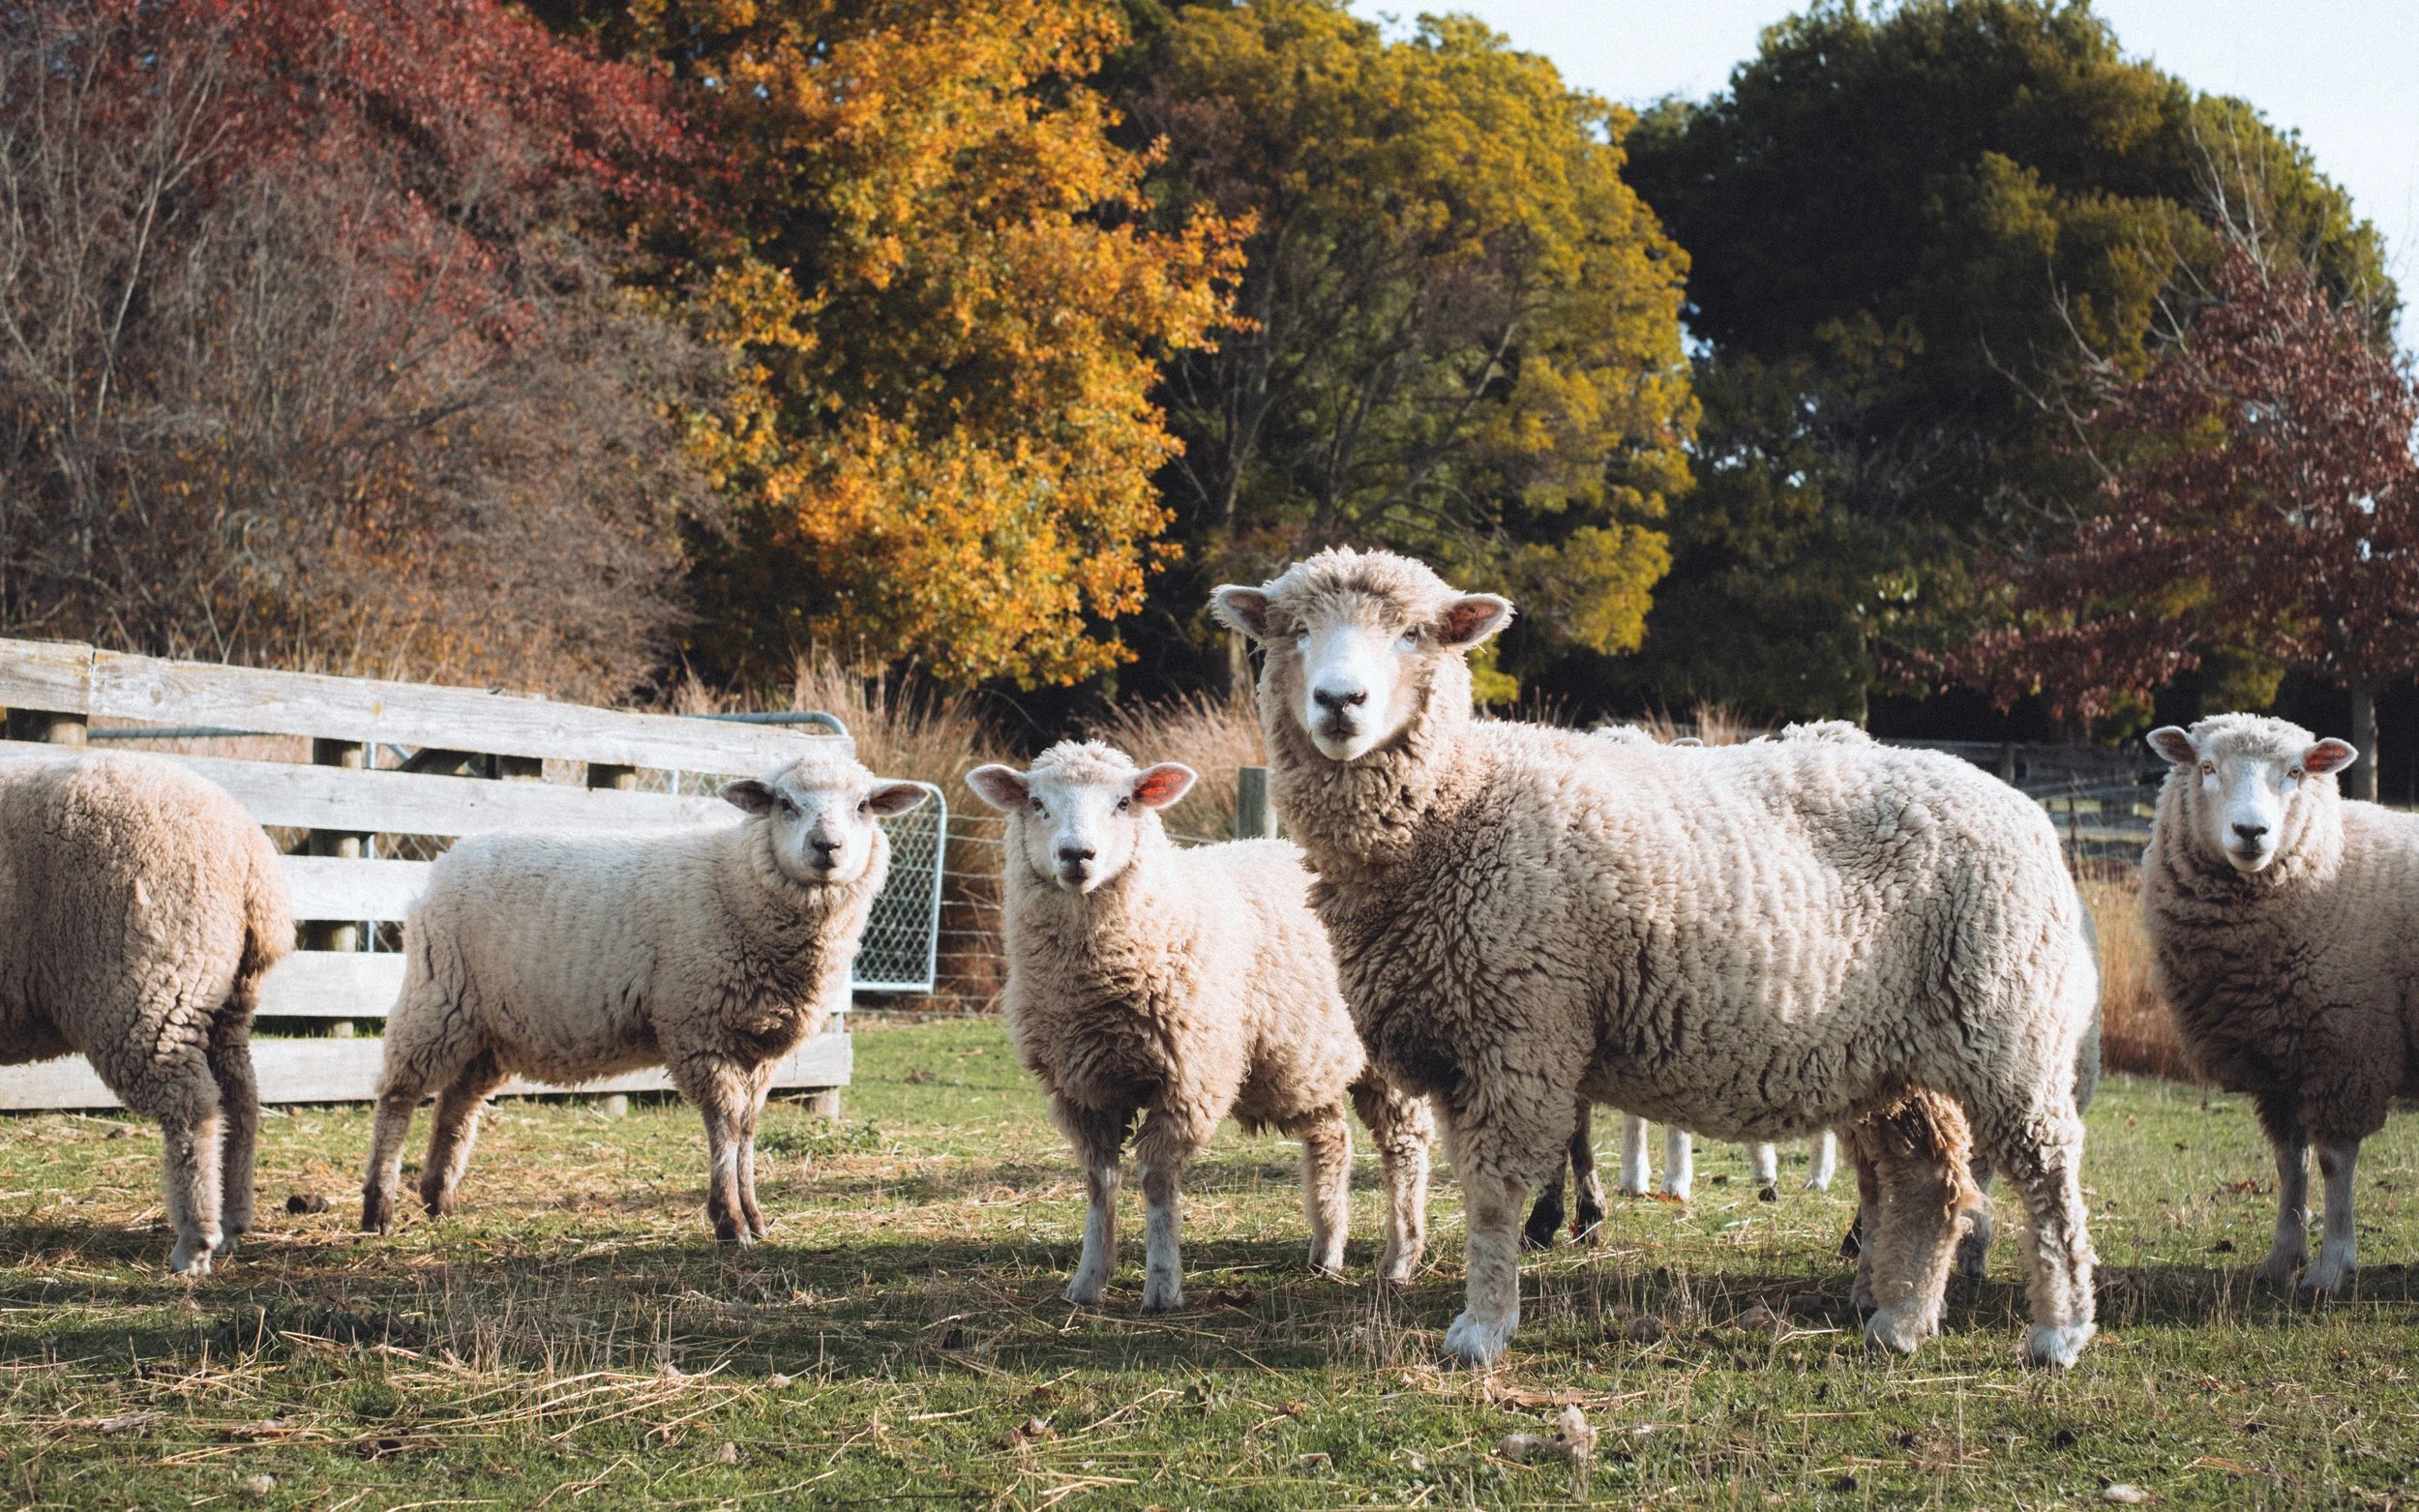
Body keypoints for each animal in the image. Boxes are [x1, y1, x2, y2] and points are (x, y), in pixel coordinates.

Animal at [0, 752, 291, 1273]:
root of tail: (250, 857)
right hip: (223, 998)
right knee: (240, 1099)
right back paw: (233, 1221)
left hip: (146, 991)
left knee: (191, 1105)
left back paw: (195, 1242)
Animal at [361, 745, 927, 1243]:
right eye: (785, 803)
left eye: (862, 806)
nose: (826, 847)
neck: (735, 881)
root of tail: (450, 858)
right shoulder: (700, 1030)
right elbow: (725, 1125)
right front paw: (730, 1222)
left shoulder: (761, 1046)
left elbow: (747, 1129)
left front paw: (755, 1217)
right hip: (437, 999)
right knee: (398, 1097)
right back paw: (379, 1209)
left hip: (490, 1028)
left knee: (456, 1105)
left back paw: (439, 1201)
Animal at [966, 740, 1433, 1312]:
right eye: (1036, 803)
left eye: (1124, 802)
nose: (1077, 856)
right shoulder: (1082, 1089)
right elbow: (1100, 1182)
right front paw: (1088, 1281)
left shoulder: (1188, 1081)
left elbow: (1157, 1179)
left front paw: (1163, 1285)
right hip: (1301, 1059)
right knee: (1331, 1137)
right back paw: (1327, 1250)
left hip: (1390, 1053)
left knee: (1404, 1147)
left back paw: (1400, 1259)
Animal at [1212, 548, 2100, 1367]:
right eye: (1294, 631)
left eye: (1413, 633)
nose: (1339, 702)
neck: (1457, 802)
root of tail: (2021, 804)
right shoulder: (1465, 1043)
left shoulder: (1519, 1029)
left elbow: (1494, 1194)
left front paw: (1482, 1328)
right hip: (1899, 1059)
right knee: (1933, 1182)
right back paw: (1902, 1321)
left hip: (2008, 1027)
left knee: (2048, 1176)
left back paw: (2059, 1330)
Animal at [2140, 712, 2402, 1294]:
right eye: (2207, 767)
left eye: (2296, 771)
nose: (2251, 832)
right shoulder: (2280, 1061)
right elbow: (2289, 1162)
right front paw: (2282, 1258)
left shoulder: (2344, 1052)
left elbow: (2332, 1162)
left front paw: (2331, 1268)